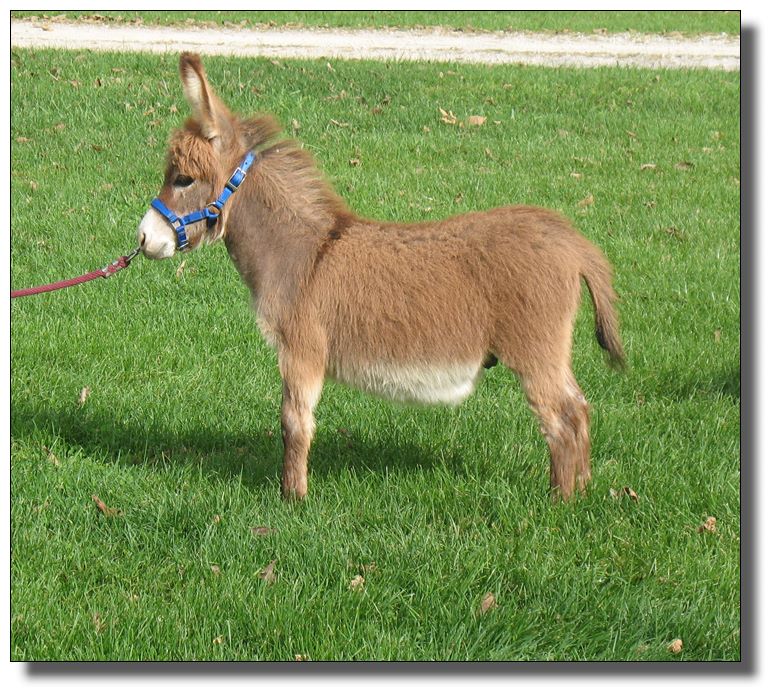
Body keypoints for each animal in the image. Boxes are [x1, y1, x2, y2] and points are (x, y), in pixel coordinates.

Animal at [137, 53, 625, 501]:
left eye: (183, 179)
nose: (143, 238)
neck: (304, 253)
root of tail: (571, 241)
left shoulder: (300, 349)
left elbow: (295, 423)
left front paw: (292, 498)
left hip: (535, 350)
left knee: (561, 419)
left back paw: (559, 502)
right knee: (580, 409)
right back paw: (582, 492)